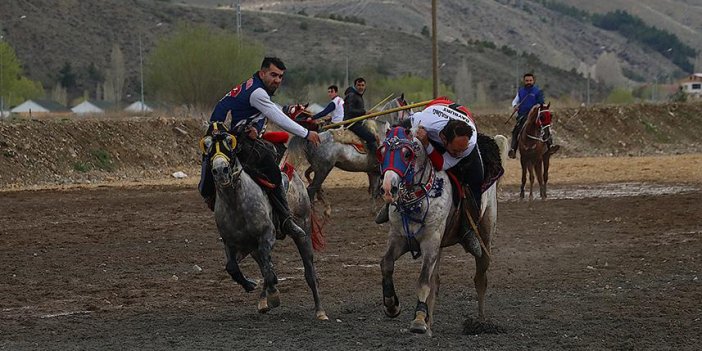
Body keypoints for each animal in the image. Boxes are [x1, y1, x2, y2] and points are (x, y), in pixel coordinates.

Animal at [199, 124, 328, 322]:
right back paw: (262, 301)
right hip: (252, 248)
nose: (220, 171)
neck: (236, 203)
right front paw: (250, 285)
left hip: (303, 231)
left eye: (230, 142)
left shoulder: (267, 236)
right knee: (264, 265)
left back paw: (320, 311)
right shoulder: (232, 243)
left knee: (309, 273)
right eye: (207, 145)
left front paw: (274, 296)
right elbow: (233, 267)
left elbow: (268, 271)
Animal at [376, 126, 504, 336]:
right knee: (435, 282)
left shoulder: (430, 243)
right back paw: (430, 325)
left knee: (480, 279)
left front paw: (418, 320)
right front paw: (391, 305)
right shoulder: (398, 238)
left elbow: (423, 280)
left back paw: (481, 321)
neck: (419, 201)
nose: (388, 188)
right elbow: (386, 264)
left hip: (485, 236)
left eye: (407, 154)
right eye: (382, 153)